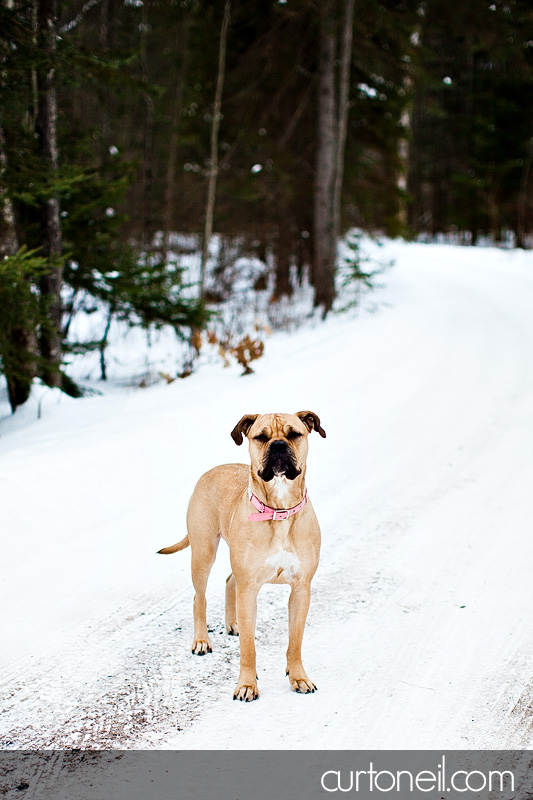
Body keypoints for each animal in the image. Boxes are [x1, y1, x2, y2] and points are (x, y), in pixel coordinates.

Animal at [157, 412, 324, 700]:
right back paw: (201, 640)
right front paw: (246, 684)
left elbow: (295, 641)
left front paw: (299, 677)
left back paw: (232, 622)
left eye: (294, 434)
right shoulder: (248, 592)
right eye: (261, 437)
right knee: (199, 598)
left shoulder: (301, 589)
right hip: (203, 553)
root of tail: (210, 471)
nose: (278, 446)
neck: (278, 511)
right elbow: (248, 647)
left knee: (228, 581)